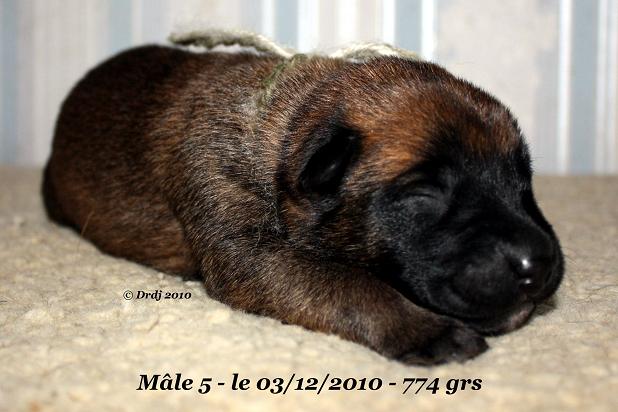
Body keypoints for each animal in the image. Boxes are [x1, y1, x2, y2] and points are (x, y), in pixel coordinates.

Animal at [42, 35, 564, 365]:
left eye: (523, 178)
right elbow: (348, 283)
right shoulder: (251, 253)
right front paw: (427, 330)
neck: (282, 125)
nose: (538, 263)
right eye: (425, 192)